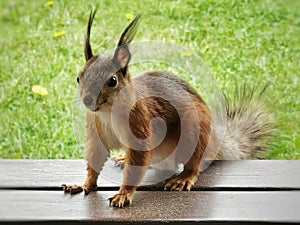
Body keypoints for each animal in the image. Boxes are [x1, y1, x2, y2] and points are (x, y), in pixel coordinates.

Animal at [62, 10, 276, 207]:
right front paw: (84, 185)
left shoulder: (140, 122)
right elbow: (95, 158)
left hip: (193, 133)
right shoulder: (95, 129)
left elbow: (137, 161)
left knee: (193, 164)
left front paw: (123, 195)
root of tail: (215, 140)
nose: (87, 100)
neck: (107, 112)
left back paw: (183, 178)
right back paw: (124, 158)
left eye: (112, 81)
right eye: (79, 78)